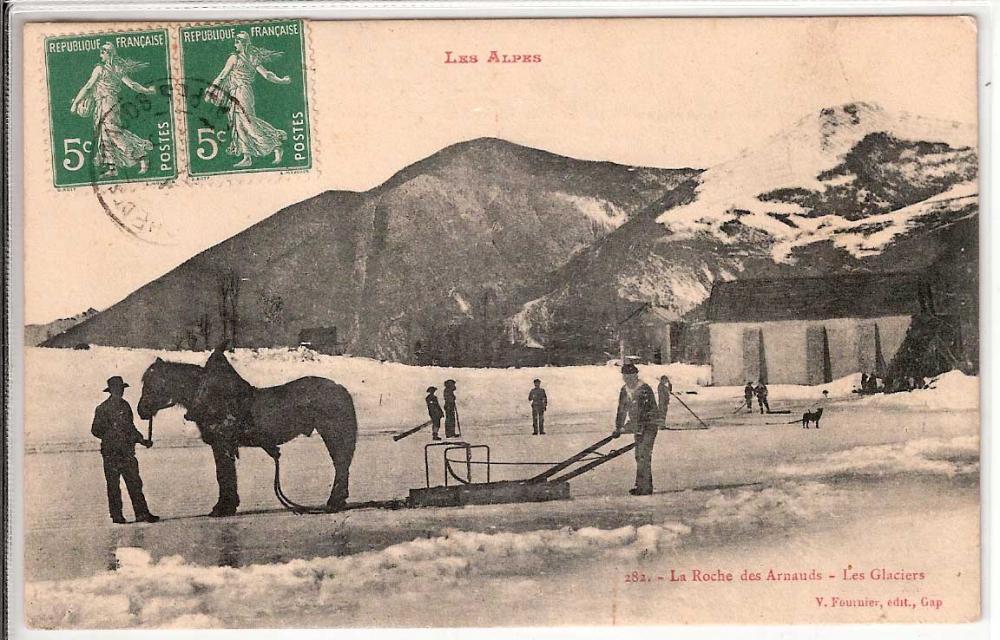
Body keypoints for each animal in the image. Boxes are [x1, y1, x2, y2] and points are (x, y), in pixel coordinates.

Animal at [137, 344, 360, 516]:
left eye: (153, 383)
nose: (141, 410)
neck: (208, 397)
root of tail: (341, 389)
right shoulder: (224, 446)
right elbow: (226, 475)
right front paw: (227, 505)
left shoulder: (222, 445)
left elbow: (224, 475)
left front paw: (222, 508)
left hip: (332, 435)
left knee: (341, 466)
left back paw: (334, 502)